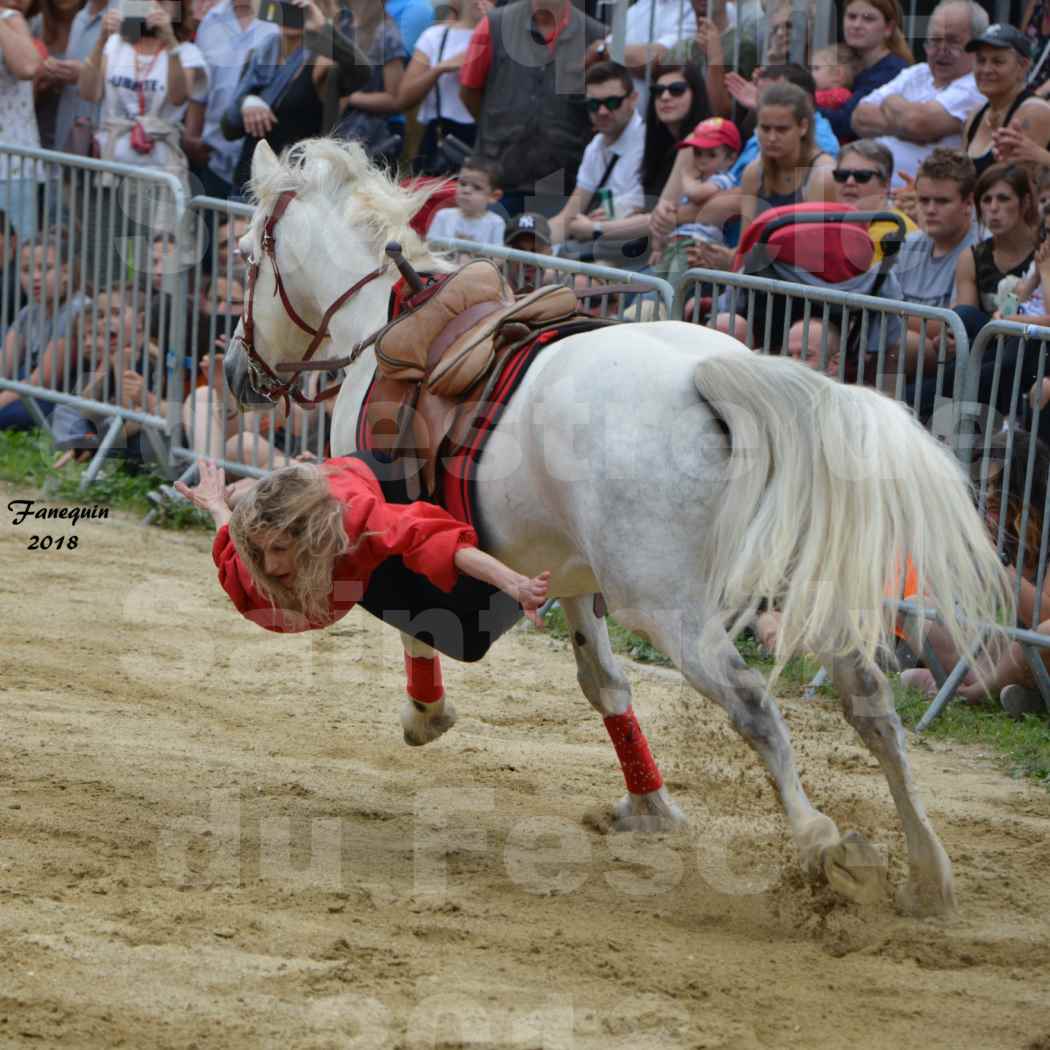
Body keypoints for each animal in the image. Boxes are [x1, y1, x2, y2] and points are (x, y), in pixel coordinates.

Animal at [219, 141, 1007, 919]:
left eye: (247, 258)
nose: (232, 370)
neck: (380, 323)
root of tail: (719, 376)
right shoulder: (570, 576)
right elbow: (604, 684)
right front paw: (649, 804)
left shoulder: (389, 528)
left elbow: (421, 624)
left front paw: (426, 715)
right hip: (803, 586)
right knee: (870, 703)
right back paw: (927, 872)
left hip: (667, 608)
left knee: (753, 704)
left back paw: (822, 844)